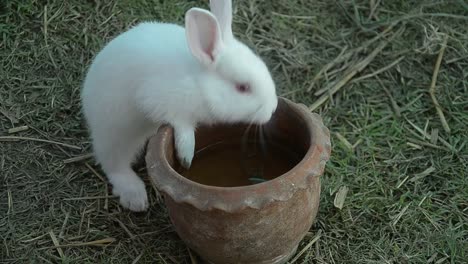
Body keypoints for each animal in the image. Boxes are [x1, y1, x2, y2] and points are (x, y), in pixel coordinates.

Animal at [80, 0, 278, 210]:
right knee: (113, 164)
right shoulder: (157, 100)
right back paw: (135, 197)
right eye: (243, 87)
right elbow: (182, 125)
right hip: (115, 133)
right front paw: (186, 154)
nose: (272, 108)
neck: (199, 83)